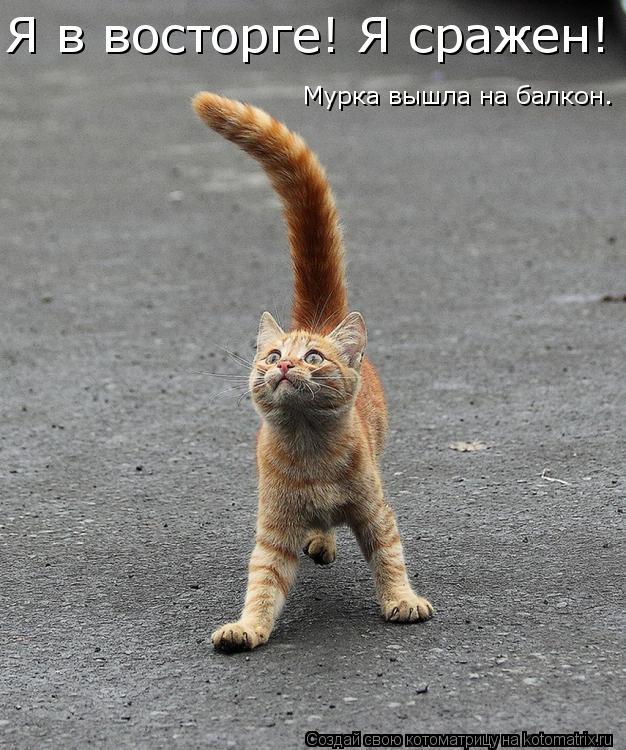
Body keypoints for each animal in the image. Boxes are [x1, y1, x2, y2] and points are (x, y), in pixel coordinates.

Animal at [193, 92, 432, 652]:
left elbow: (390, 556)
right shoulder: (274, 530)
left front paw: (402, 600)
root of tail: (317, 317)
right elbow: (263, 582)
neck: (309, 451)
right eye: (272, 355)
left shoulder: (375, 511)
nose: (284, 365)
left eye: (315, 358)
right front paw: (247, 628)